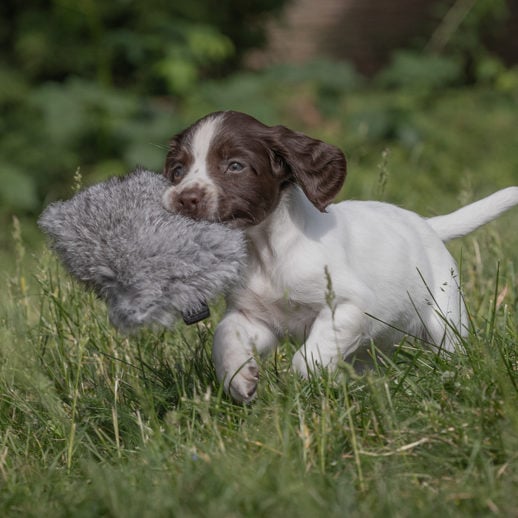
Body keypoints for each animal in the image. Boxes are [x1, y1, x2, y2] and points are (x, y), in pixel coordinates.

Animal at [162, 110, 518, 402]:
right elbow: (224, 337)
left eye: (234, 166)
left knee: (451, 346)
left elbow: (308, 358)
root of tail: (427, 224)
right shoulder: (254, 317)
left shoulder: (350, 305)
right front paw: (239, 379)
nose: (184, 199)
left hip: (443, 316)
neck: (267, 250)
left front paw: (312, 383)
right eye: (177, 170)